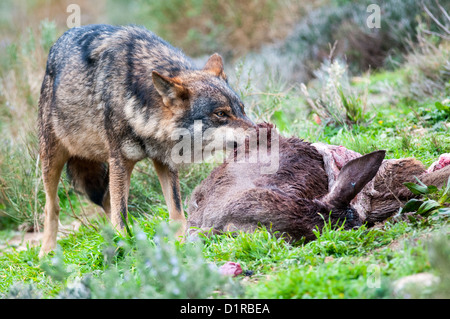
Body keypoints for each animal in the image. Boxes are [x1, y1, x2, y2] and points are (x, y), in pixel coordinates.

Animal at [37, 24, 255, 258]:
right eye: (221, 114)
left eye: (241, 109)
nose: (261, 133)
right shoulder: (120, 161)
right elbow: (121, 214)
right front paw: (124, 248)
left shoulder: (165, 162)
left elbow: (176, 211)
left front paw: (181, 242)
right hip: (52, 159)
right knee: (52, 206)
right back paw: (46, 251)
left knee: (106, 200)